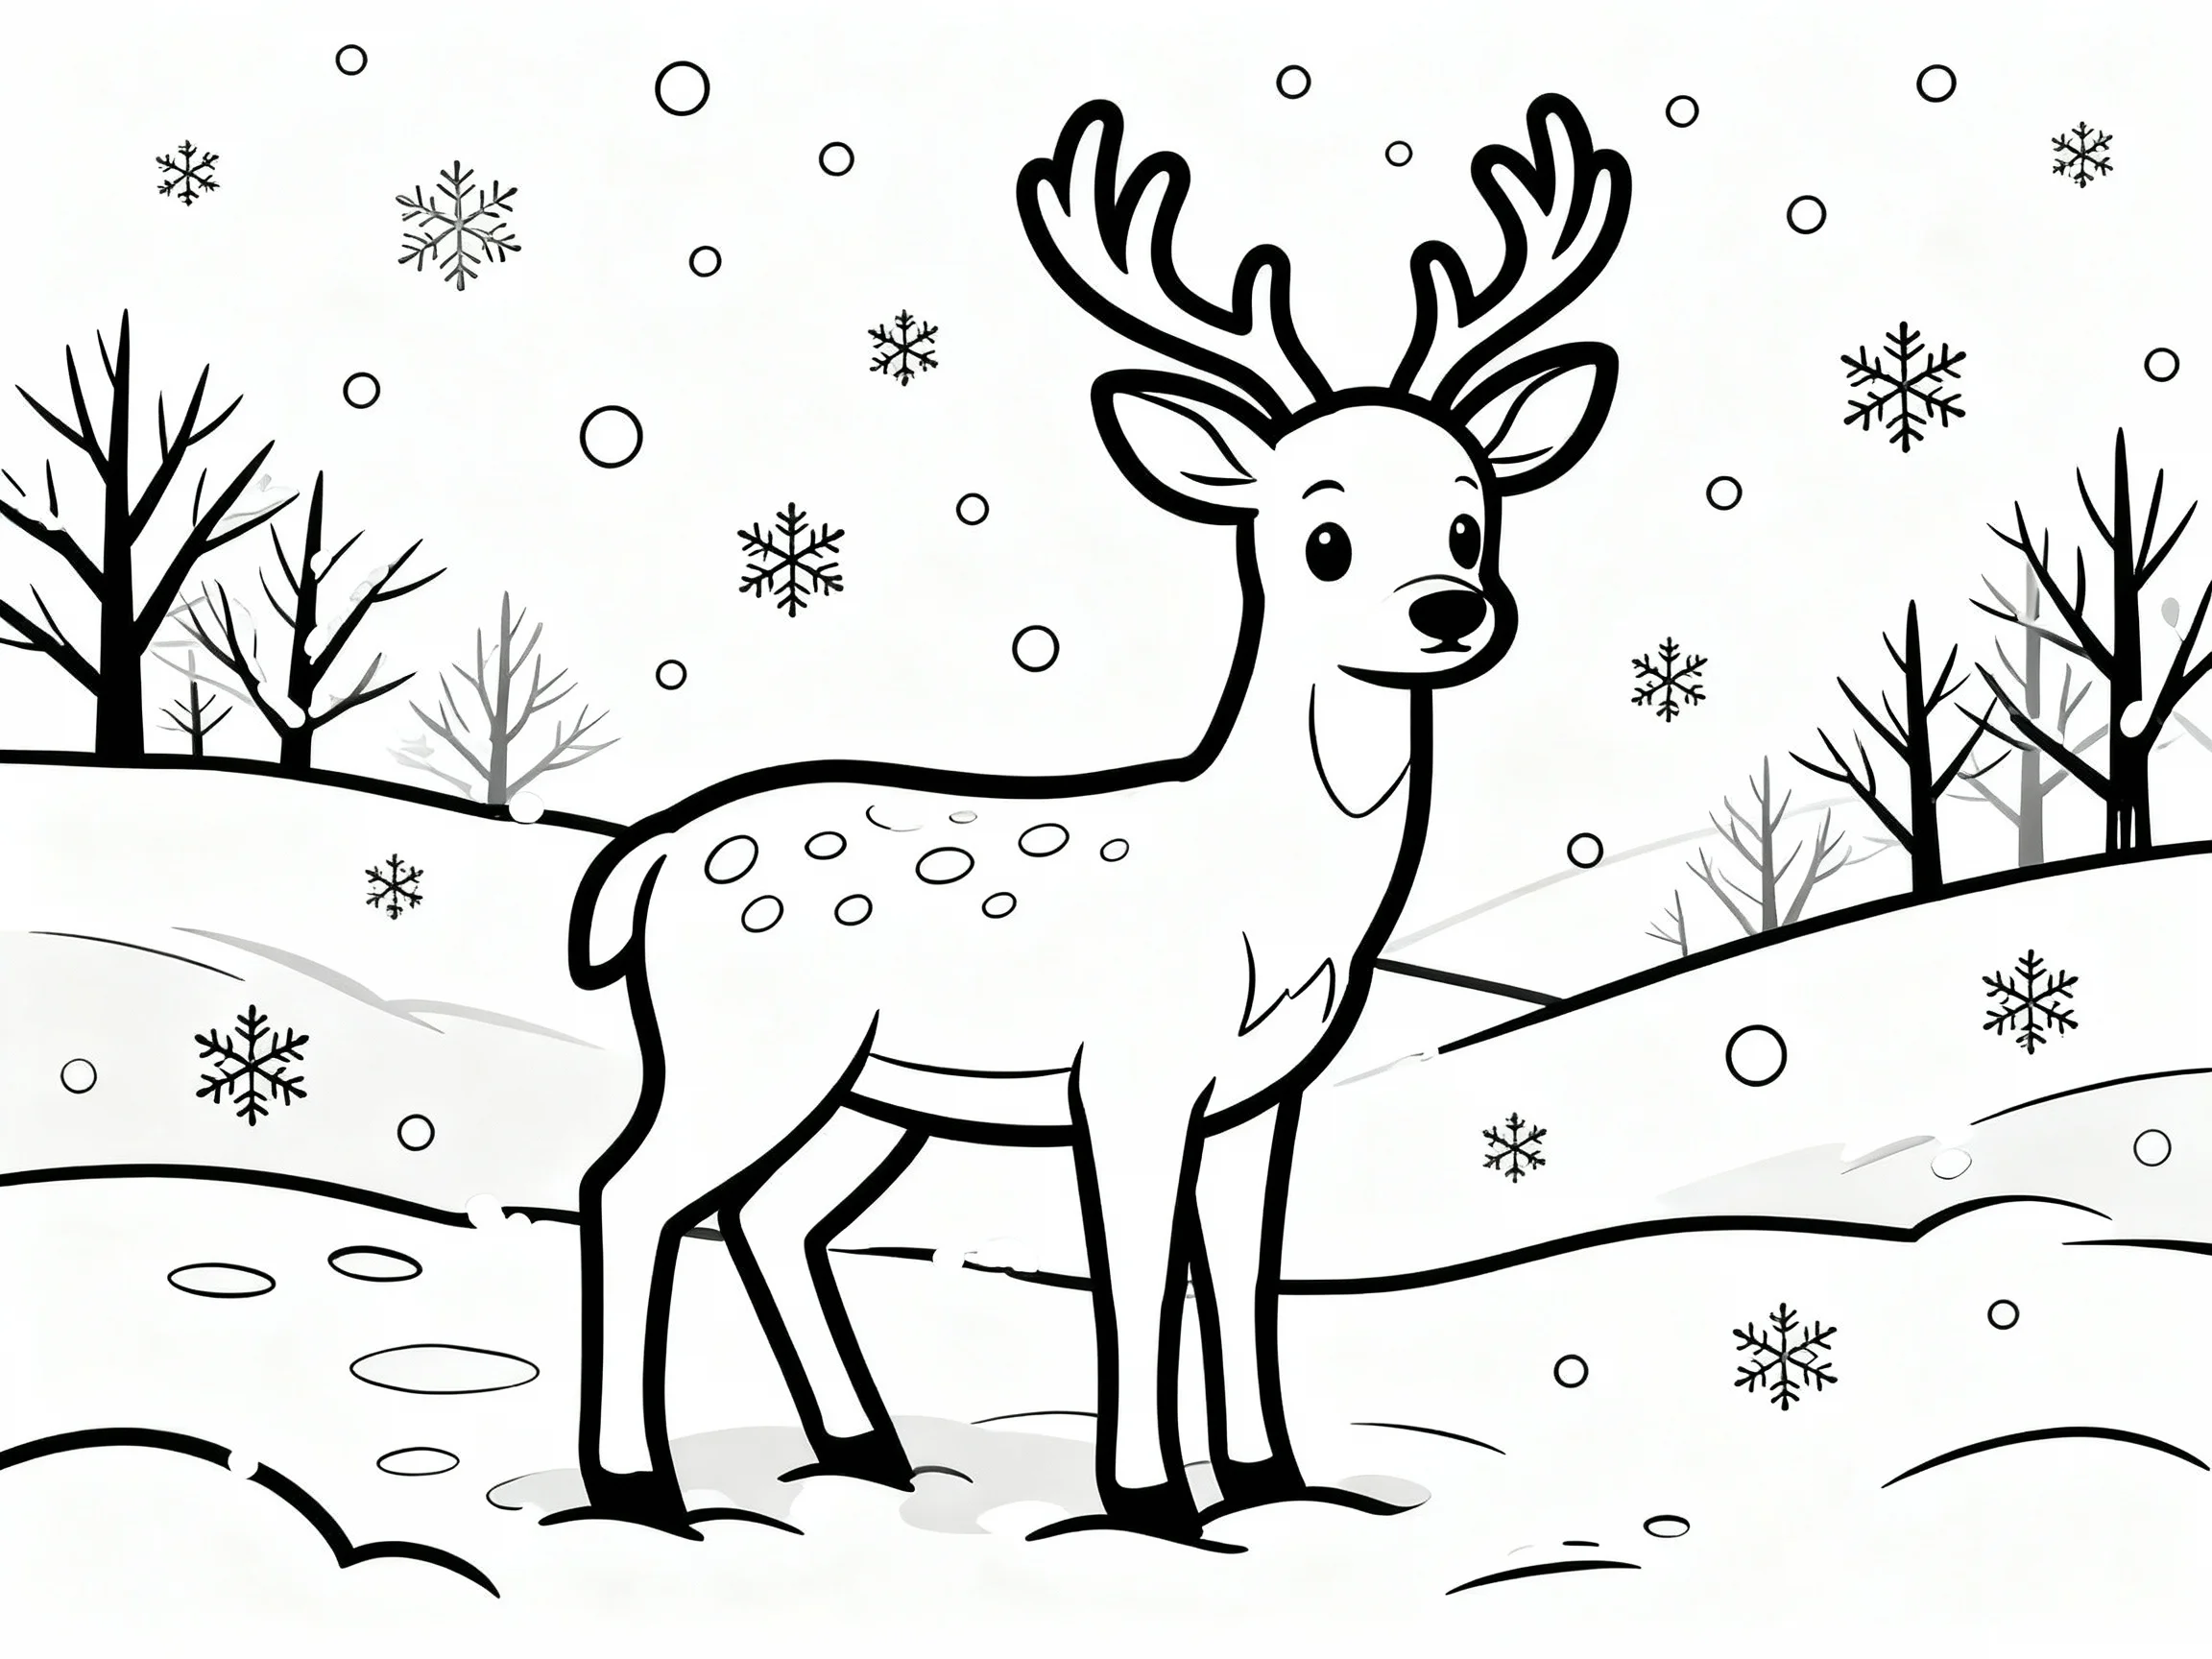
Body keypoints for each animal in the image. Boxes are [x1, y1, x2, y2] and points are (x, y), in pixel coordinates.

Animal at [562, 93, 1629, 1546]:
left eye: (1473, 517)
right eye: (1324, 541)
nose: (1453, 609)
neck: (1276, 896)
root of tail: (653, 856)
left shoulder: (1260, 1097)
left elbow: (1240, 1274)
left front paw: (1274, 1478)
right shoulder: (1129, 1071)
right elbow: (1134, 1271)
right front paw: (1152, 1499)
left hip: (871, 1093)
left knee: (769, 1217)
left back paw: (871, 1450)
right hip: (745, 1044)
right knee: (628, 1191)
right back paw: (642, 1486)